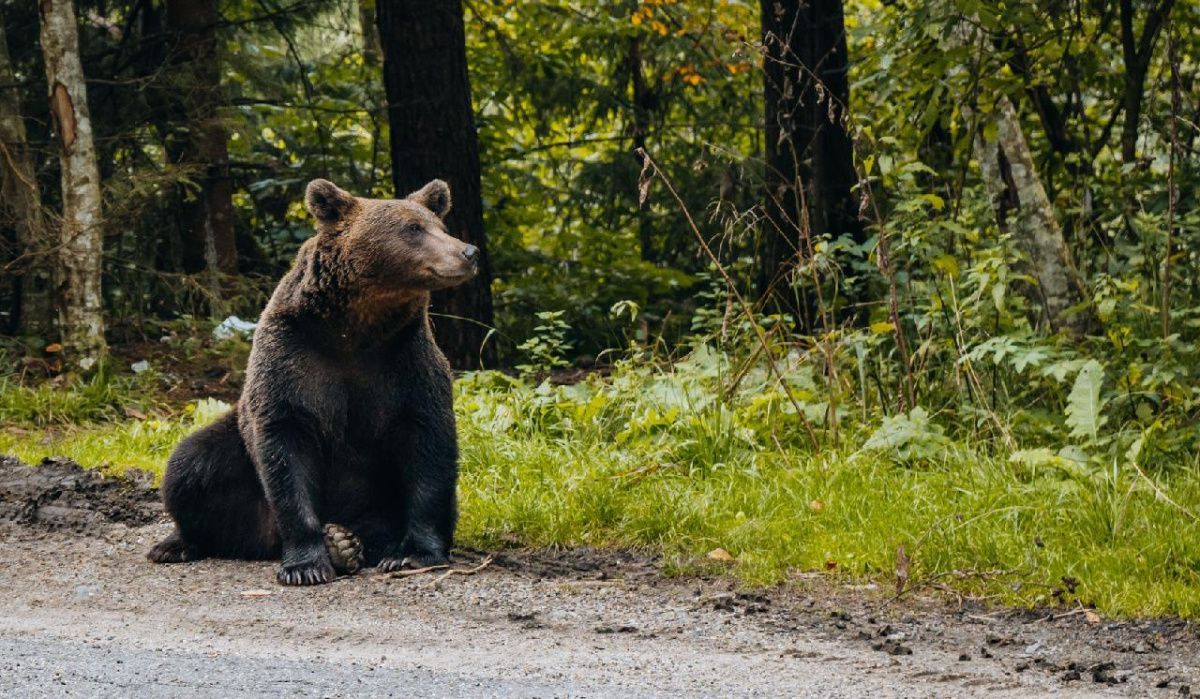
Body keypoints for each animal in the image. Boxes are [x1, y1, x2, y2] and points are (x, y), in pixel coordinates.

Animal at [145, 176, 472, 586]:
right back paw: (178, 544)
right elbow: (285, 447)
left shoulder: (404, 361)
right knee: (190, 466)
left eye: (438, 225)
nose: (468, 251)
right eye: (413, 229)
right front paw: (306, 565)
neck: (355, 328)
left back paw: (348, 543)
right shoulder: (292, 359)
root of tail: (266, 540)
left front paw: (411, 554)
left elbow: (427, 449)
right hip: (235, 458)